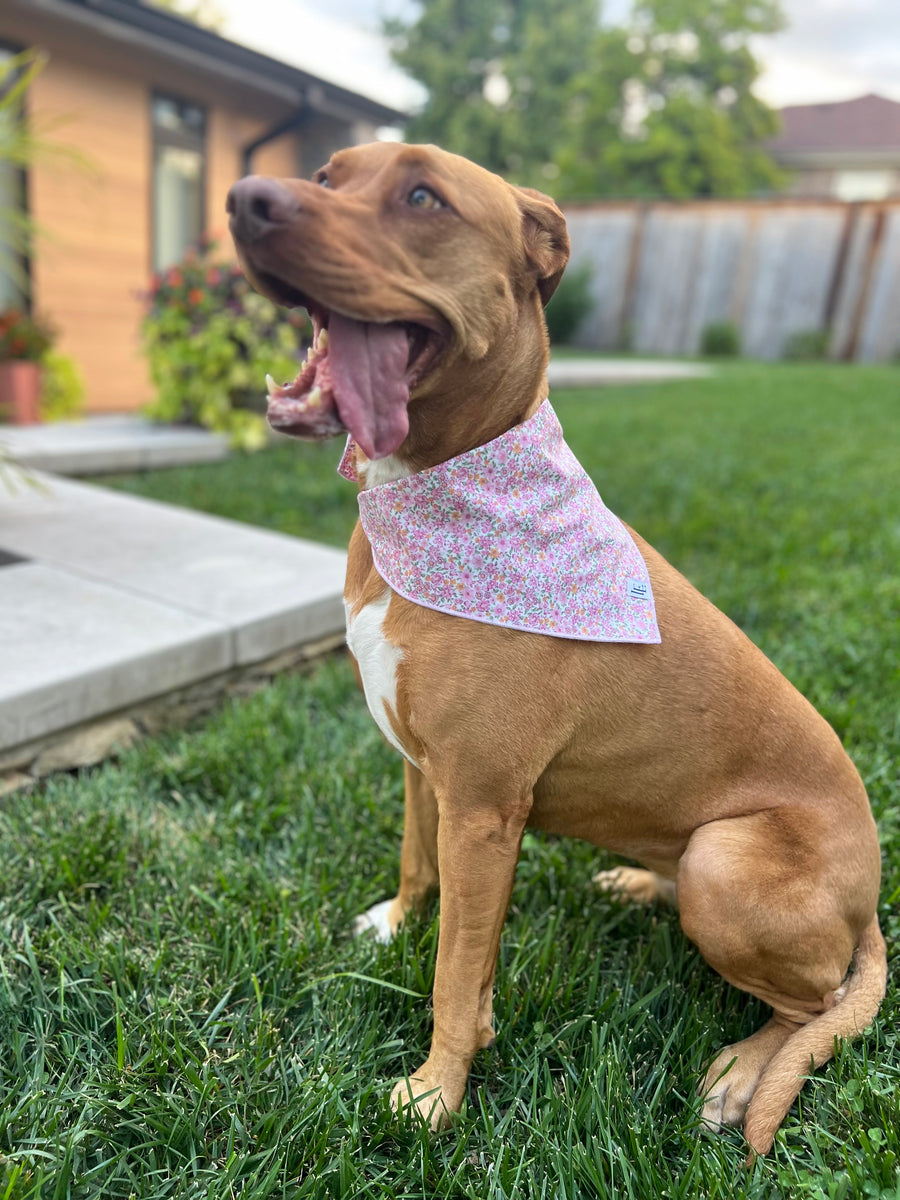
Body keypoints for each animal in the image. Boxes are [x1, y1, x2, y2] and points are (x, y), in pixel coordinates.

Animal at [225, 140, 888, 1152]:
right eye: (330, 175)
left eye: (424, 197)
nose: (245, 200)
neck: (434, 493)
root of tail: (874, 899)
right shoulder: (422, 772)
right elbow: (419, 868)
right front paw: (398, 924)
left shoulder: (482, 811)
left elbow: (457, 976)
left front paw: (436, 1094)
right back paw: (637, 884)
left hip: (726, 860)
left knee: (817, 1006)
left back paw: (743, 1073)